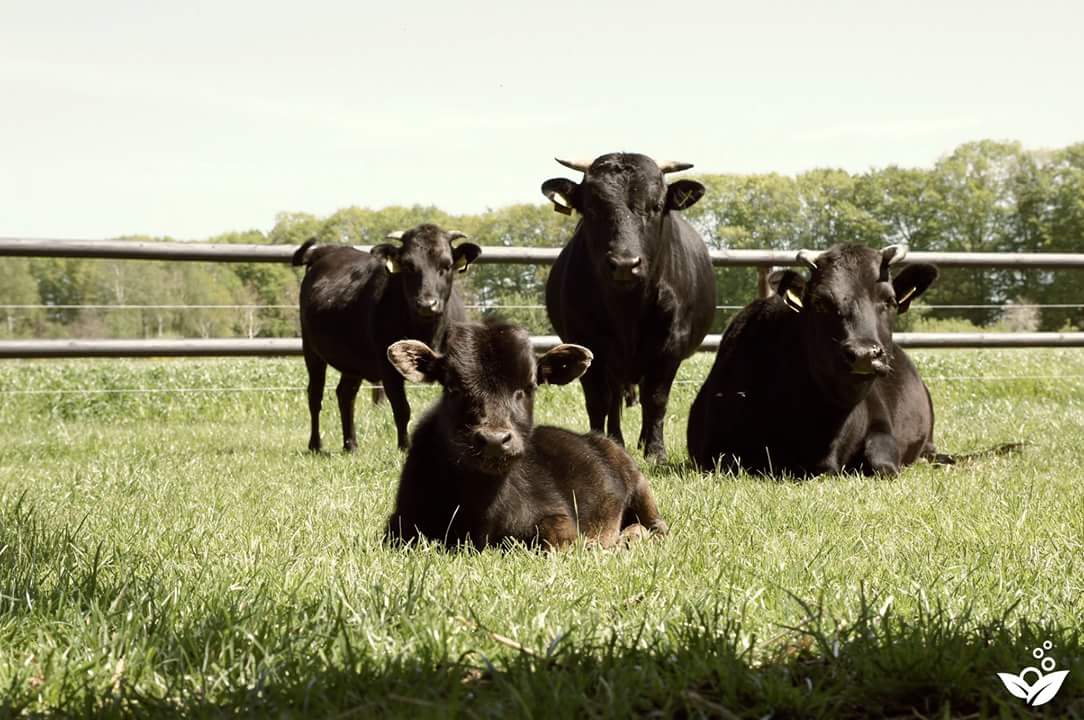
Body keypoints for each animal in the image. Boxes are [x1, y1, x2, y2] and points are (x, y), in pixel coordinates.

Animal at [292, 224, 481, 452]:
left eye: (447, 265)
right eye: (408, 265)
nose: (427, 304)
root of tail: (329, 251)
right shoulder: (388, 367)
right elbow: (402, 409)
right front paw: (405, 448)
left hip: (353, 360)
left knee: (345, 394)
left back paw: (350, 445)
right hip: (311, 351)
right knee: (315, 395)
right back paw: (315, 445)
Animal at [383, 319, 669, 550]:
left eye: (530, 386)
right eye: (452, 387)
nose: (495, 440)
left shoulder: (558, 515)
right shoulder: (399, 523)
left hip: (640, 487)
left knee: (658, 527)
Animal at [541, 153, 716, 460]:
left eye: (656, 206)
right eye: (591, 209)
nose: (625, 264)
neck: (627, 310)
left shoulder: (669, 348)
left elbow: (656, 399)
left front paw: (656, 452)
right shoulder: (587, 345)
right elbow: (599, 401)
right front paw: (602, 442)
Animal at [686, 243, 940, 476]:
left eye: (890, 301)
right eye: (821, 302)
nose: (864, 353)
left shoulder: (881, 423)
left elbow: (883, 463)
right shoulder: (712, 448)